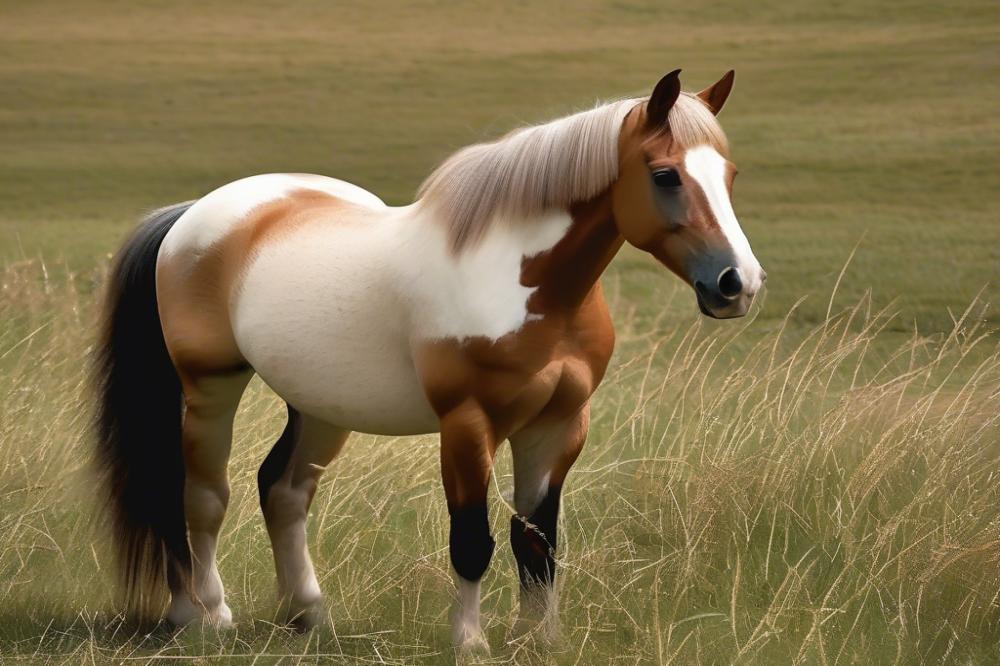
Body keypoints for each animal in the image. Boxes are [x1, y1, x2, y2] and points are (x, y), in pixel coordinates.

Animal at [92, 68, 764, 651]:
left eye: (729, 174)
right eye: (666, 174)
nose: (738, 284)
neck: (524, 281)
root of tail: (192, 215)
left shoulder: (558, 426)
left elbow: (537, 541)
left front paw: (539, 639)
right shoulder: (467, 425)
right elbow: (472, 539)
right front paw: (470, 641)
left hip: (321, 404)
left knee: (283, 491)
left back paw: (308, 614)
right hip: (211, 387)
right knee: (199, 494)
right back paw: (203, 614)